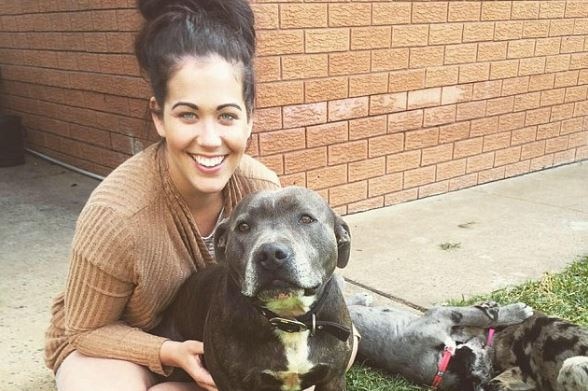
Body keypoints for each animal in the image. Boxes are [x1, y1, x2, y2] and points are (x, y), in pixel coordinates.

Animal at [155, 187, 354, 391]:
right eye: (243, 227)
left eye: (306, 219)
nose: (271, 254)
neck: (289, 319)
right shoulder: (230, 383)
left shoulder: (333, 378)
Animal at [344, 296, 532, 390]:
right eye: (484, 350)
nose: (486, 342)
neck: (443, 365)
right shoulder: (441, 315)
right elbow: (476, 316)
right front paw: (513, 312)